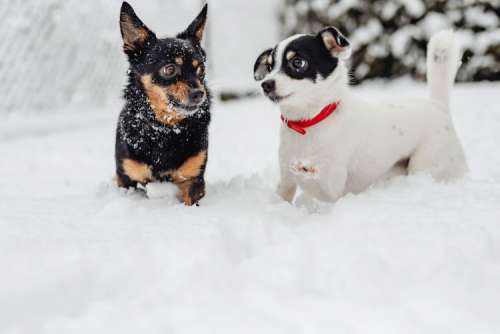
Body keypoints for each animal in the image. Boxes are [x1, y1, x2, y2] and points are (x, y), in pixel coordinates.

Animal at [115, 2, 211, 205]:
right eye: (169, 69)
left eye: (200, 70)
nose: (200, 93)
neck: (164, 128)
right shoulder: (126, 179)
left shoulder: (193, 179)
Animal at [254, 27, 468, 202]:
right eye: (270, 67)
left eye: (298, 62)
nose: (265, 84)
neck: (309, 122)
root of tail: (437, 105)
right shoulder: (285, 182)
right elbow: (282, 197)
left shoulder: (334, 188)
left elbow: (319, 178)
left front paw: (306, 168)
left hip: (425, 164)